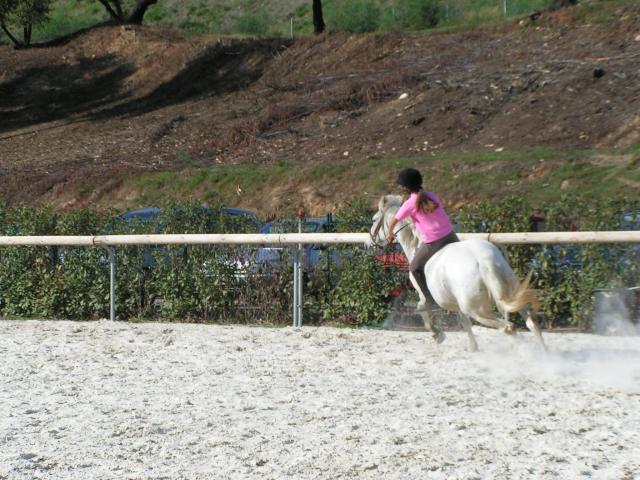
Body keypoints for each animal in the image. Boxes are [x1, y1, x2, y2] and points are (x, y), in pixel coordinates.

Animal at [370, 194, 544, 352]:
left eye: (373, 219)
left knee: (509, 327)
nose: (371, 242)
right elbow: (464, 322)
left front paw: (437, 335)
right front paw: (473, 346)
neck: (417, 244)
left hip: (477, 310)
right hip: (511, 293)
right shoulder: (455, 303)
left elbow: (424, 312)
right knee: (530, 322)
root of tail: (483, 262)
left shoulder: (423, 296)